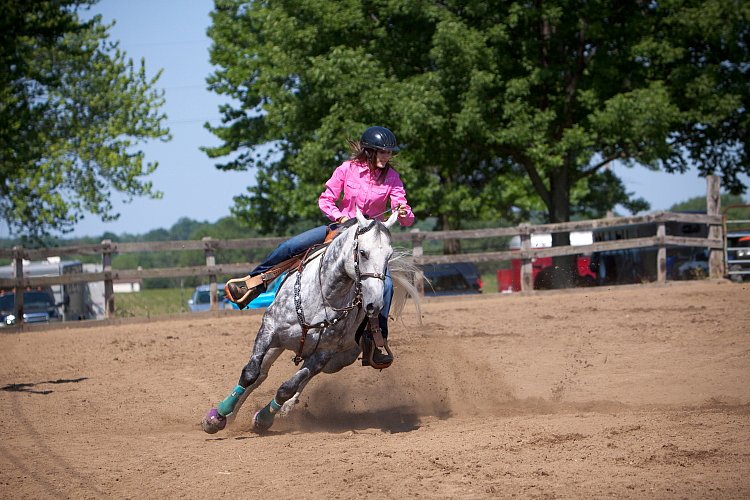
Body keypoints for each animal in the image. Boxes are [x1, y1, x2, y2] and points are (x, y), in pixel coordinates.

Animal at [203, 208, 420, 434]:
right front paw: (217, 416)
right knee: (261, 373)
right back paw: (231, 414)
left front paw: (263, 418)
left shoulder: (324, 353)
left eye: (388, 256)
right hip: (280, 344)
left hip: (338, 360)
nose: (374, 304)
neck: (322, 298)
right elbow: (250, 373)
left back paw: (285, 408)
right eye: (363, 252)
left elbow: (287, 388)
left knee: (303, 380)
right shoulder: (269, 329)